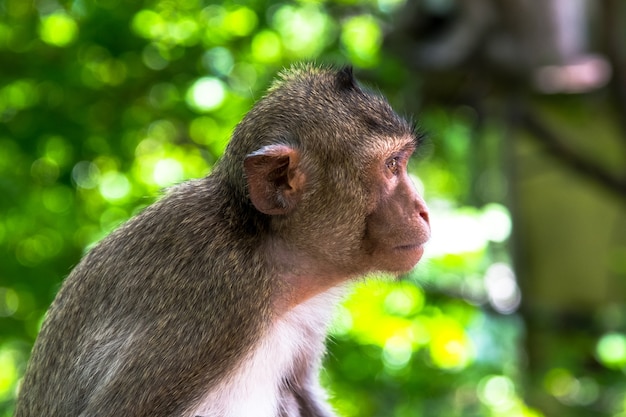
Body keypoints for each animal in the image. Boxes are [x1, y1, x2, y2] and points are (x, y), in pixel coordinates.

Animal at [17, 64, 432, 416]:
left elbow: (300, 390)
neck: (266, 245)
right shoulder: (220, 300)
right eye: (391, 165)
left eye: (402, 160)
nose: (423, 209)